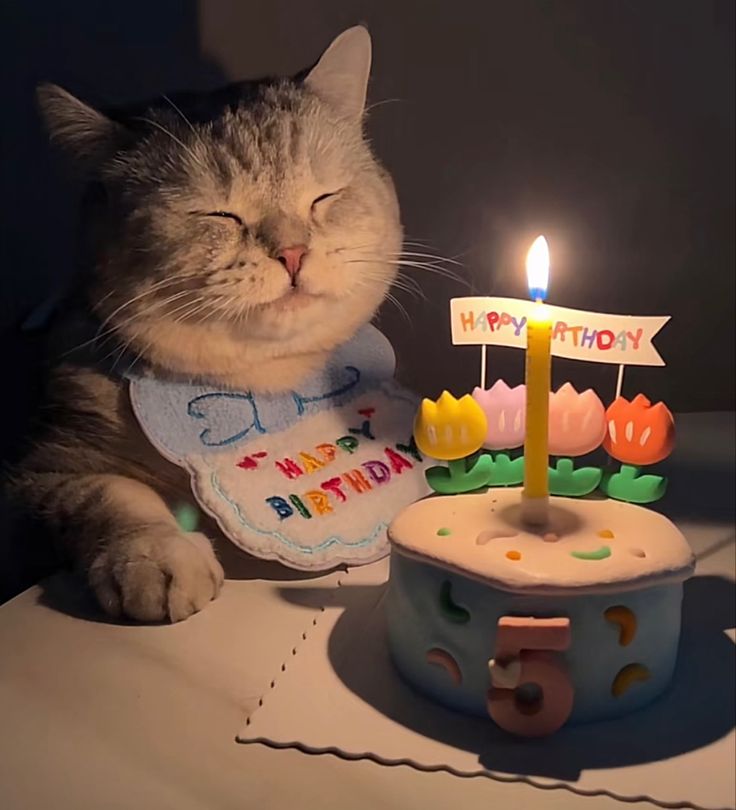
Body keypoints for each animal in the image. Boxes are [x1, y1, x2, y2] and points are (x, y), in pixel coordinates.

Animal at [11, 25, 402, 620]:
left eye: (323, 197)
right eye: (219, 214)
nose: (292, 253)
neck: (261, 387)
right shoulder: (43, 471)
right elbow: (108, 495)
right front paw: (155, 557)